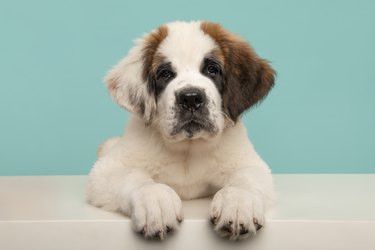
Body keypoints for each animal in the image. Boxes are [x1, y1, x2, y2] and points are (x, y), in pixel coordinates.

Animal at [87, 20, 276, 240]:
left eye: (212, 69)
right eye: (165, 74)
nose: (191, 98)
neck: (188, 147)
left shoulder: (250, 164)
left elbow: (245, 178)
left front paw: (237, 203)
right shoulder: (107, 169)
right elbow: (134, 177)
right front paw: (155, 200)